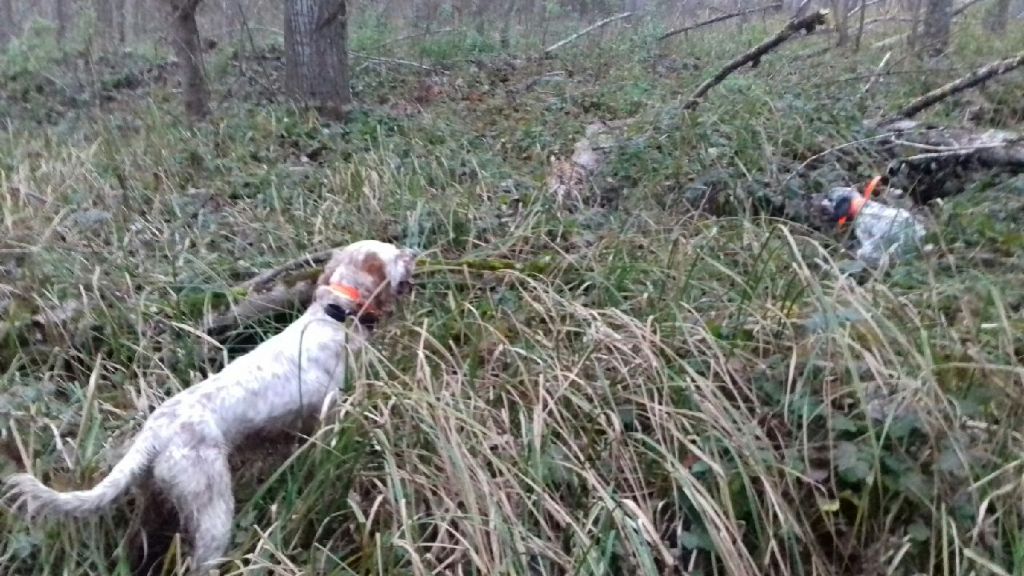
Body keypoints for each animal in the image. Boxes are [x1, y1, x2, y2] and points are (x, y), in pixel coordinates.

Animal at [2, 239, 418, 574]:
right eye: (394, 253)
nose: (414, 253)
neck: (334, 314)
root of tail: (154, 432)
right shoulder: (331, 411)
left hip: (155, 506)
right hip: (213, 511)